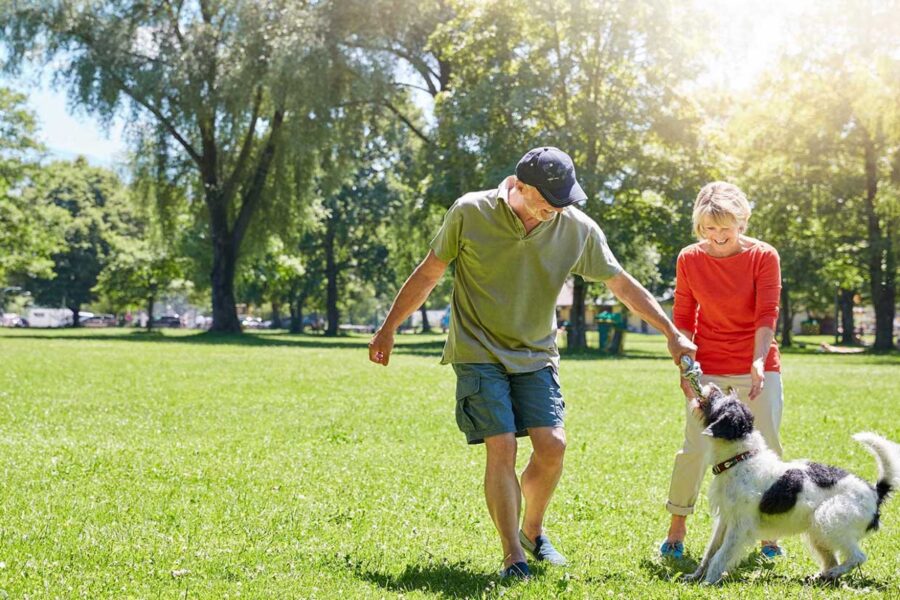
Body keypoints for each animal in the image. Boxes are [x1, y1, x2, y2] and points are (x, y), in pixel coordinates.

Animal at [684, 384, 896, 584]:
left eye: (722, 402)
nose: (713, 386)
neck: (740, 458)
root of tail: (875, 492)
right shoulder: (725, 520)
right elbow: (711, 552)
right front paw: (695, 576)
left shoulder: (740, 526)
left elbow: (721, 555)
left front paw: (709, 581)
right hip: (818, 533)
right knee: (832, 560)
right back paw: (822, 577)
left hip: (827, 520)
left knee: (858, 557)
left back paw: (833, 573)